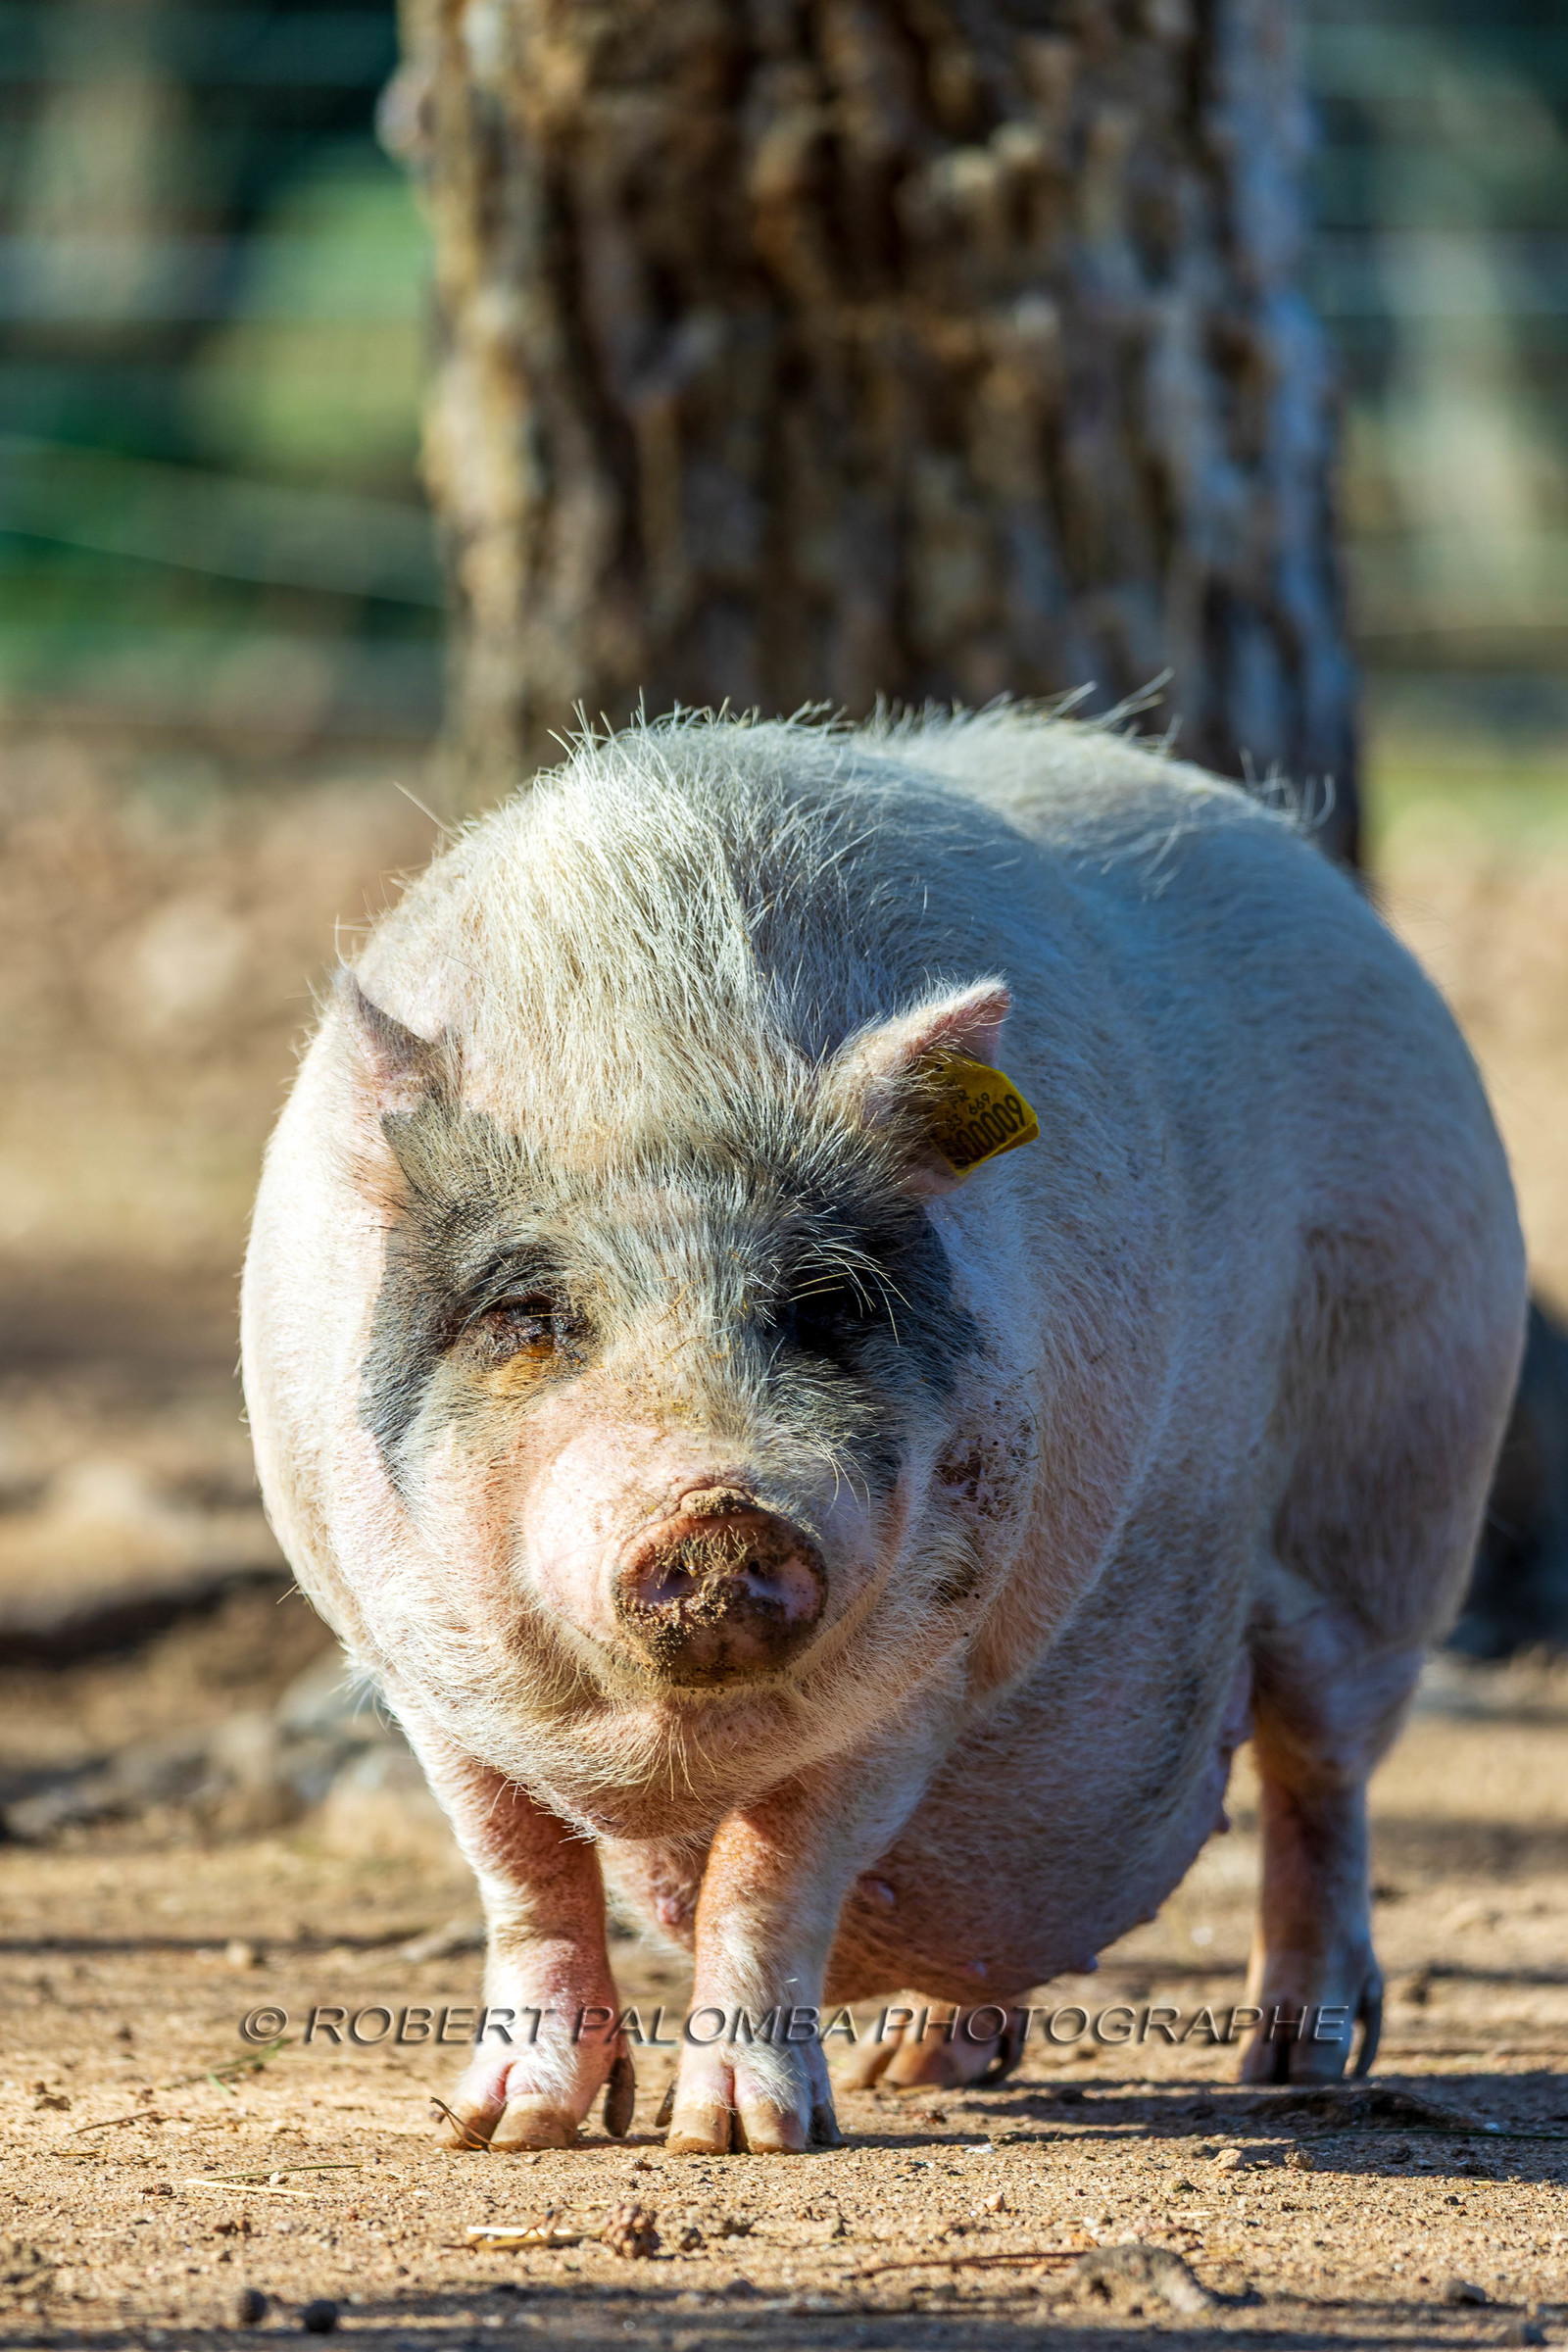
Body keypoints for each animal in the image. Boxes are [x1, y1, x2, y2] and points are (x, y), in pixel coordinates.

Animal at [241, 709, 1525, 2155]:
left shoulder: (930, 1657)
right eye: (527, 1313)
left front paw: (742, 2140)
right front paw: (503, 2134)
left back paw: (1293, 2060)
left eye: (828, 1304)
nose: (718, 1513)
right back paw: (909, 2074)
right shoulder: (403, 1658)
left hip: (1398, 1500)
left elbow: (773, 1871)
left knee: (1325, 1780)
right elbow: (524, 1870)